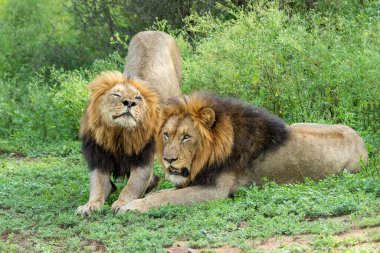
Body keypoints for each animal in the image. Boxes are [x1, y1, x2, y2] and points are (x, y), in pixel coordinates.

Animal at [76, 30, 183, 215]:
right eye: (116, 95)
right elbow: (98, 187)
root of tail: (153, 31)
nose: (129, 103)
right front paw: (89, 206)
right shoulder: (99, 158)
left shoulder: (142, 161)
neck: (119, 133)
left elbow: (131, 186)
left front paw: (121, 203)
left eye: (138, 98)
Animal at [119, 92, 368, 212]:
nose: (168, 160)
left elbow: (166, 197)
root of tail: (362, 142)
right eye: (166, 135)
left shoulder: (216, 191)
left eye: (186, 137)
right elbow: (164, 192)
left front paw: (132, 206)